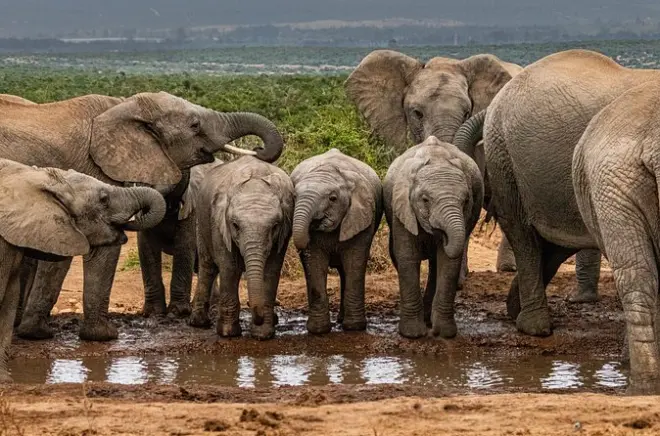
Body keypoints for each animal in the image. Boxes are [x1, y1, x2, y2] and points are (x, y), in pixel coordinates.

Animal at [136, 157, 224, 318]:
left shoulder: (193, 204)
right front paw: (153, 313)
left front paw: (178, 312)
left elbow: (184, 246)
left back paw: (209, 310)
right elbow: (146, 248)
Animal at [189, 156, 294, 340]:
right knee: (207, 267)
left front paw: (262, 334)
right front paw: (228, 333)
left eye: (275, 226)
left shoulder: (284, 232)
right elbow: (230, 268)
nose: (258, 316)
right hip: (201, 220)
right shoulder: (219, 223)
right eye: (235, 225)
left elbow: (271, 270)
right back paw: (199, 323)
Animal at [290, 148, 383, 334]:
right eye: (294, 197)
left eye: (332, 198)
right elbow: (315, 264)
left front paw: (354, 328)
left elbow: (355, 262)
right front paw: (318, 330)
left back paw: (343, 320)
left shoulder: (361, 218)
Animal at [383, 135, 483, 339]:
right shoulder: (402, 208)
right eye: (425, 200)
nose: (442, 234)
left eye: (466, 201)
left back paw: (429, 320)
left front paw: (444, 333)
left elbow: (447, 261)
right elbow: (407, 256)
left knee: (436, 264)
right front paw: (412, 334)